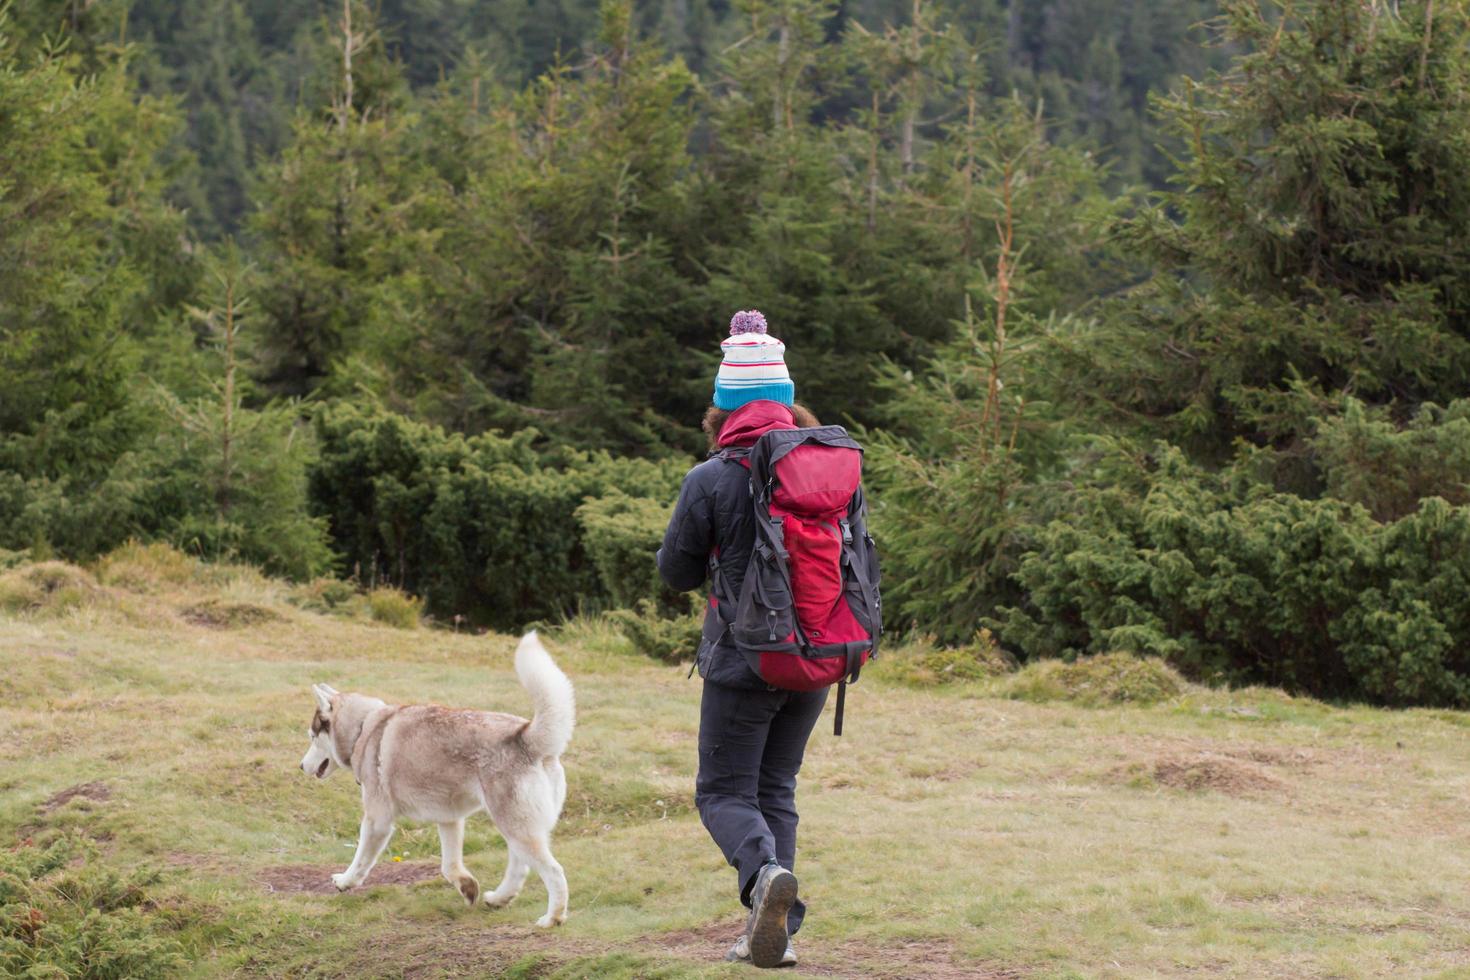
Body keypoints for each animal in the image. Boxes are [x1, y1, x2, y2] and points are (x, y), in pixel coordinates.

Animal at [298, 628, 573, 928]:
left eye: (312, 737)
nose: (301, 766)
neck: (363, 729)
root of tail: (526, 736)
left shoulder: (377, 821)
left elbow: (361, 860)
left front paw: (345, 881)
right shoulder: (449, 819)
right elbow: (449, 866)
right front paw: (468, 888)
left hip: (517, 828)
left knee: (554, 872)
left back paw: (552, 918)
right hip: (516, 828)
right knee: (519, 868)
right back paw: (499, 898)